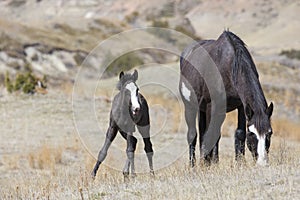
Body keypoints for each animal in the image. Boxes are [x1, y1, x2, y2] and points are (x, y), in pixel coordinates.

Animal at [179, 30, 274, 166]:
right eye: (252, 133)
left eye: (269, 133)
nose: (262, 163)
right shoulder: (212, 107)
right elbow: (210, 134)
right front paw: (206, 164)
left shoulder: (242, 106)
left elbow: (239, 133)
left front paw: (239, 163)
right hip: (190, 107)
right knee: (193, 134)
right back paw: (194, 165)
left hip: (204, 110)